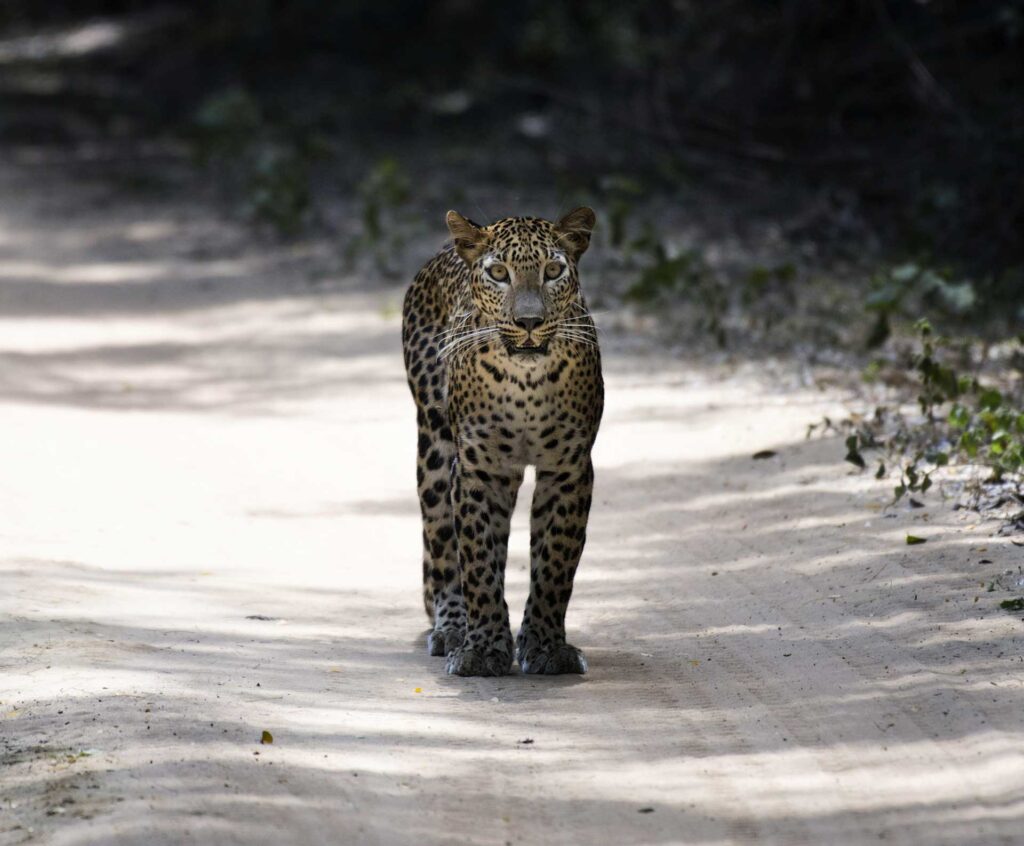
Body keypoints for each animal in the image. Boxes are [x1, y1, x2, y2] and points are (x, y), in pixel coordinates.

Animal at [401, 207, 598, 675]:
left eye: (552, 271)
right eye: (498, 273)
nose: (528, 322)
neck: (524, 383)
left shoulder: (568, 470)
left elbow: (555, 562)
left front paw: (546, 646)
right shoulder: (478, 471)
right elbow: (476, 560)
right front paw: (484, 648)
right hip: (435, 447)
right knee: (442, 542)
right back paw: (452, 626)